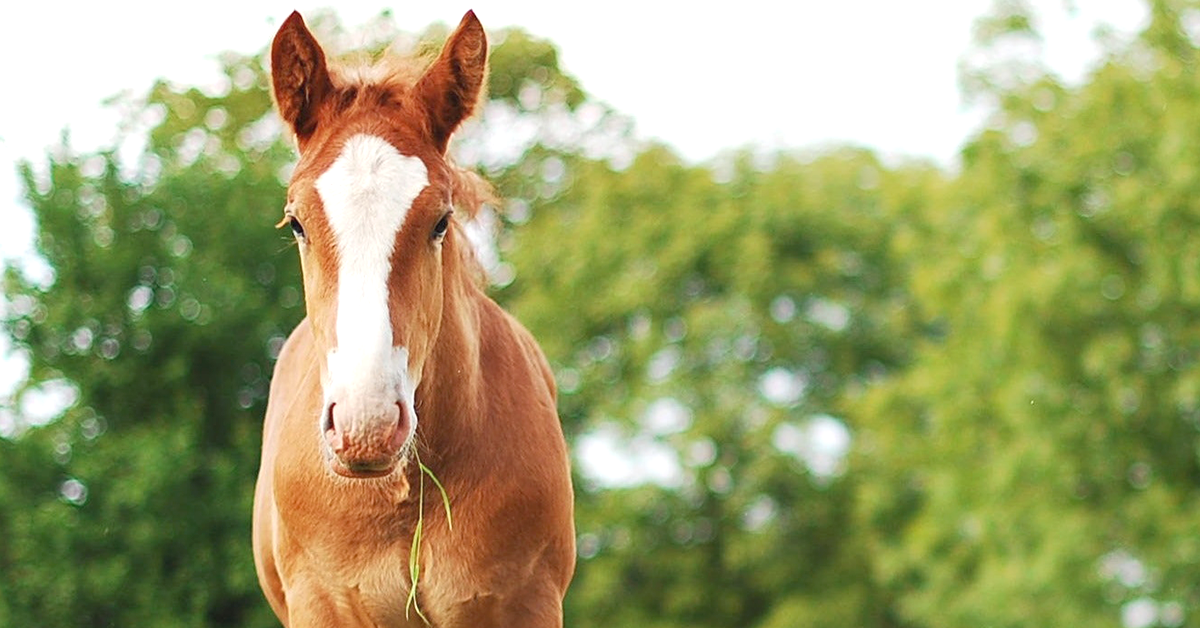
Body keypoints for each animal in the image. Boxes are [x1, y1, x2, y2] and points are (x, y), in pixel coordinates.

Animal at [252, 11, 576, 628]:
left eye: (441, 221)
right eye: (296, 223)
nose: (366, 426)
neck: (407, 491)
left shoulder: (525, 602)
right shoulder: (320, 604)